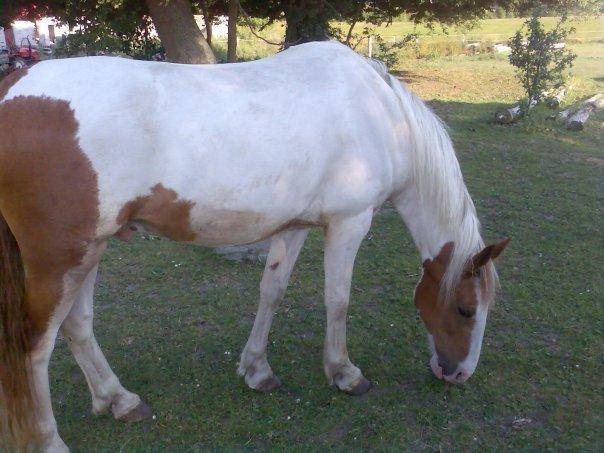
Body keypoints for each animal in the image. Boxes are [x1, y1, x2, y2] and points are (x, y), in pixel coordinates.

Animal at [0, 41, 510, 448]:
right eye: (465, 309)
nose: (459, 373)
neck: (380, 115)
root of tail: (14, 88)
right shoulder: (349, 223)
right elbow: (338, 301)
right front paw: (344, 373)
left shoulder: (294, 225)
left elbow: (272, 292)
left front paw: (257, 370)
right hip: (62, 259)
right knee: (35, 346)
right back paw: (49, 441)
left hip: (91, 250)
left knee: (78, 325)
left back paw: (119, 400)